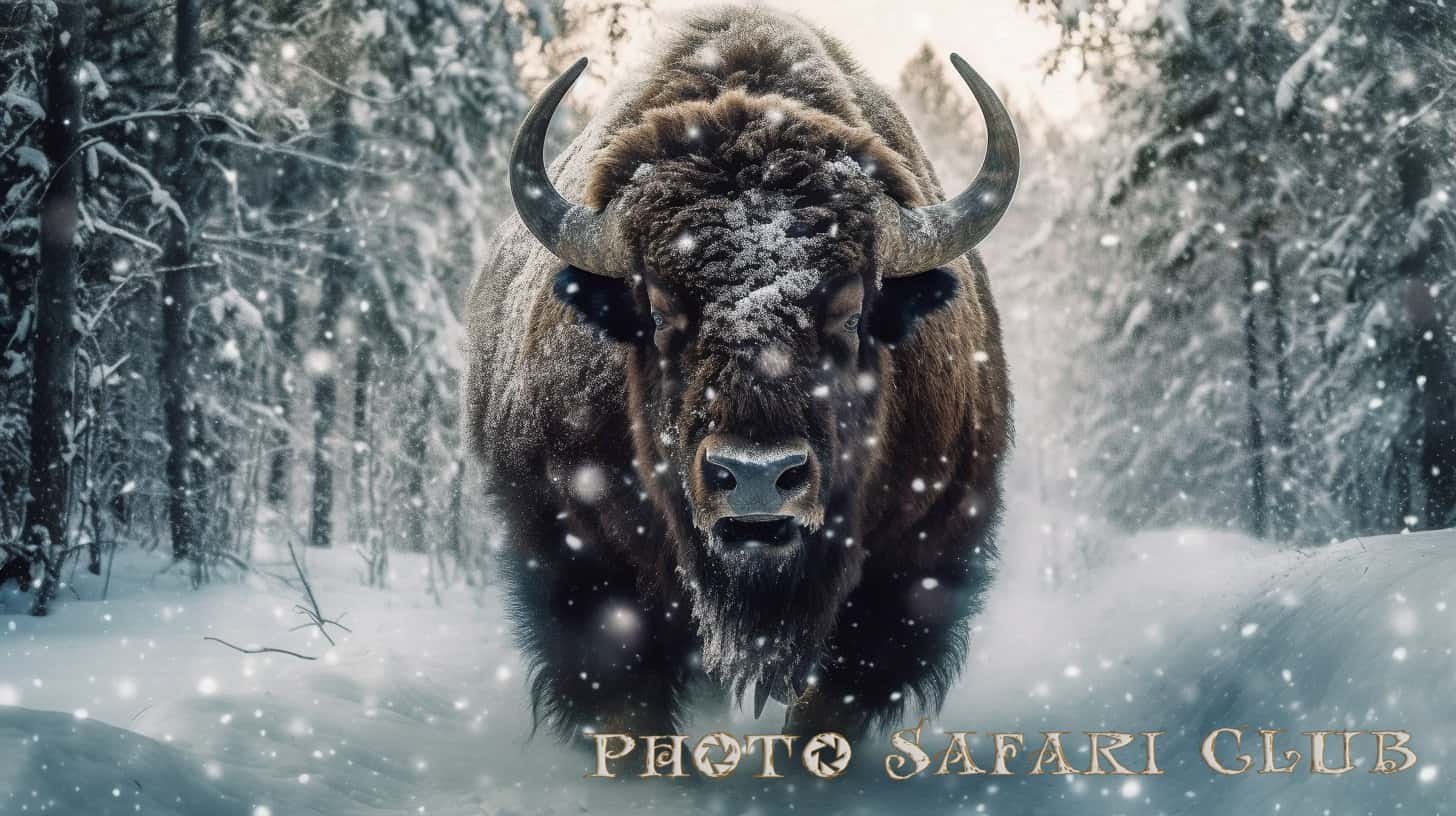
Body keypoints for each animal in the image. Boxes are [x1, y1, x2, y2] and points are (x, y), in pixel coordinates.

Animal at [464, 6, 1017, 740]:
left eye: (851, 310)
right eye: (659, 309)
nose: (757, 476)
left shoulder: (912, 566)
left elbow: (824, 715)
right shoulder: (578, 557)